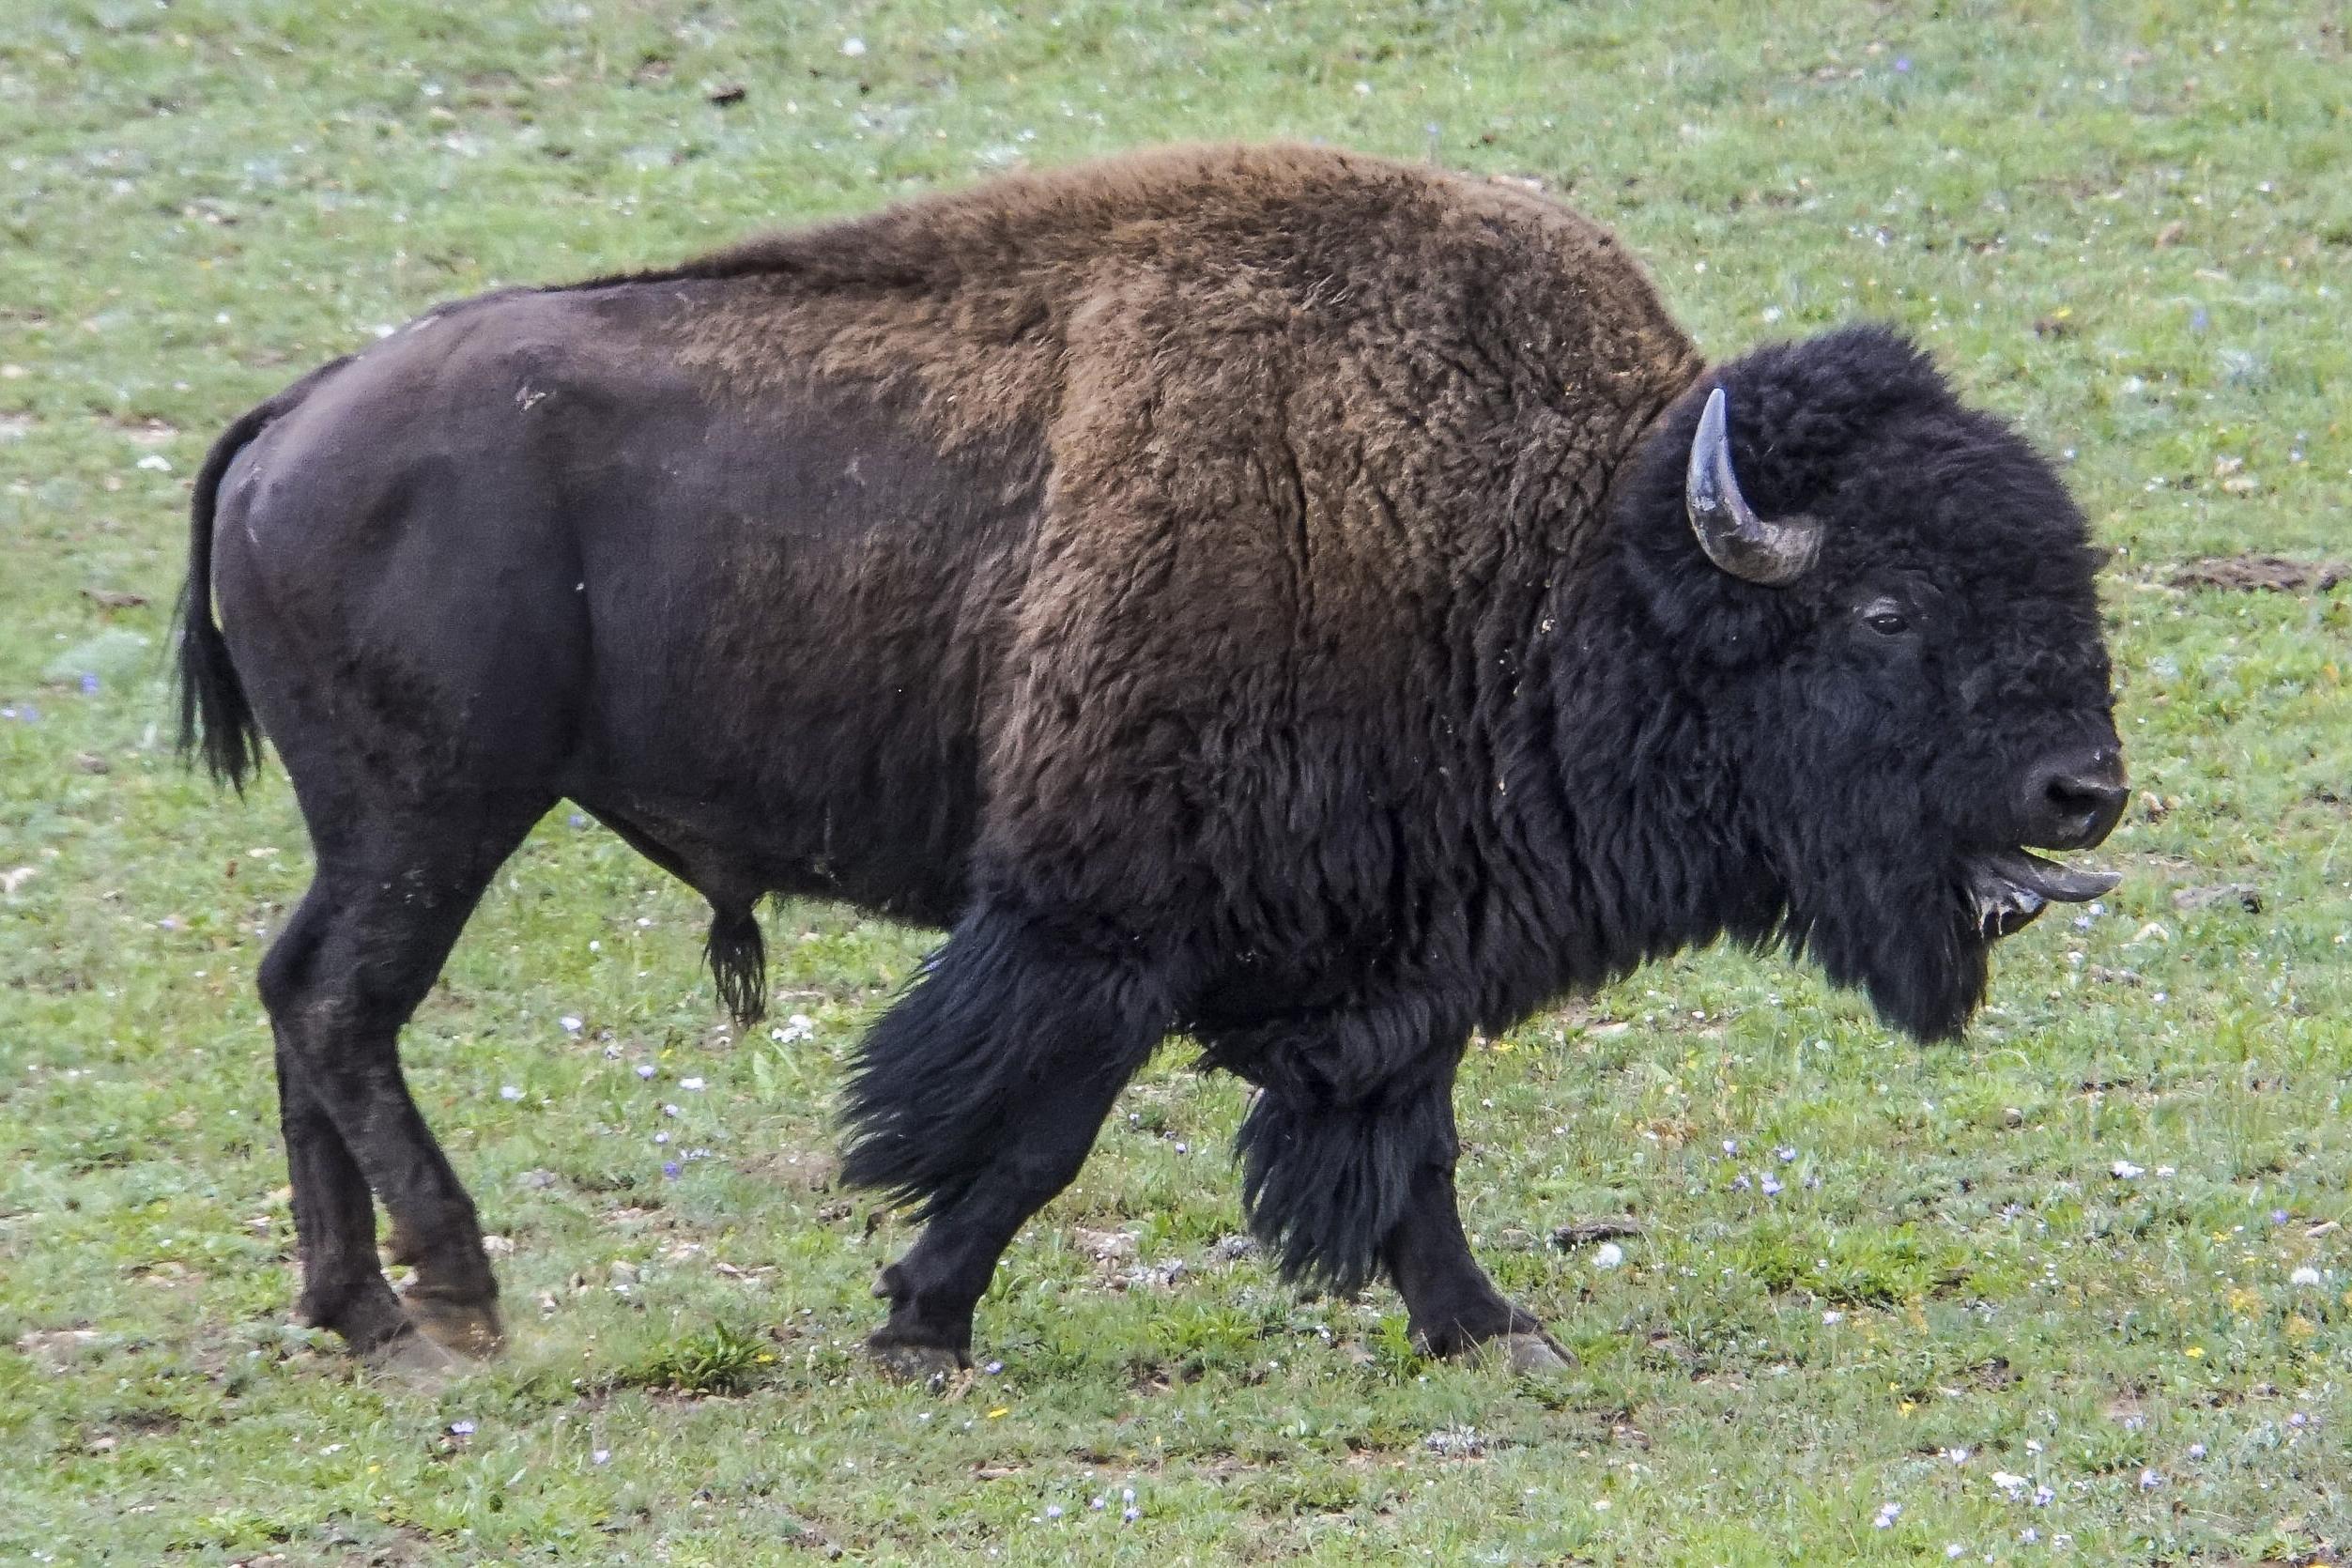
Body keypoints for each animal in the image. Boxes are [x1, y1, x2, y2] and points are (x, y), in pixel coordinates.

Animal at [174, 144, 2126, 1373]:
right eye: (1883, 610)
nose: (2084, 790)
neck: (1559, 549)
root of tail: (292, 419)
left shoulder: (1391, 955)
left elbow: (1407, 1146)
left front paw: (1492, 1328)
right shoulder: (1104, 927)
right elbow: (1040, 1136)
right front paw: (922, 1323)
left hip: (384, 829)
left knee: (297, 996)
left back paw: (358, 1314)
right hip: (438, 816)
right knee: (343, 1005)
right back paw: (457, 1295)